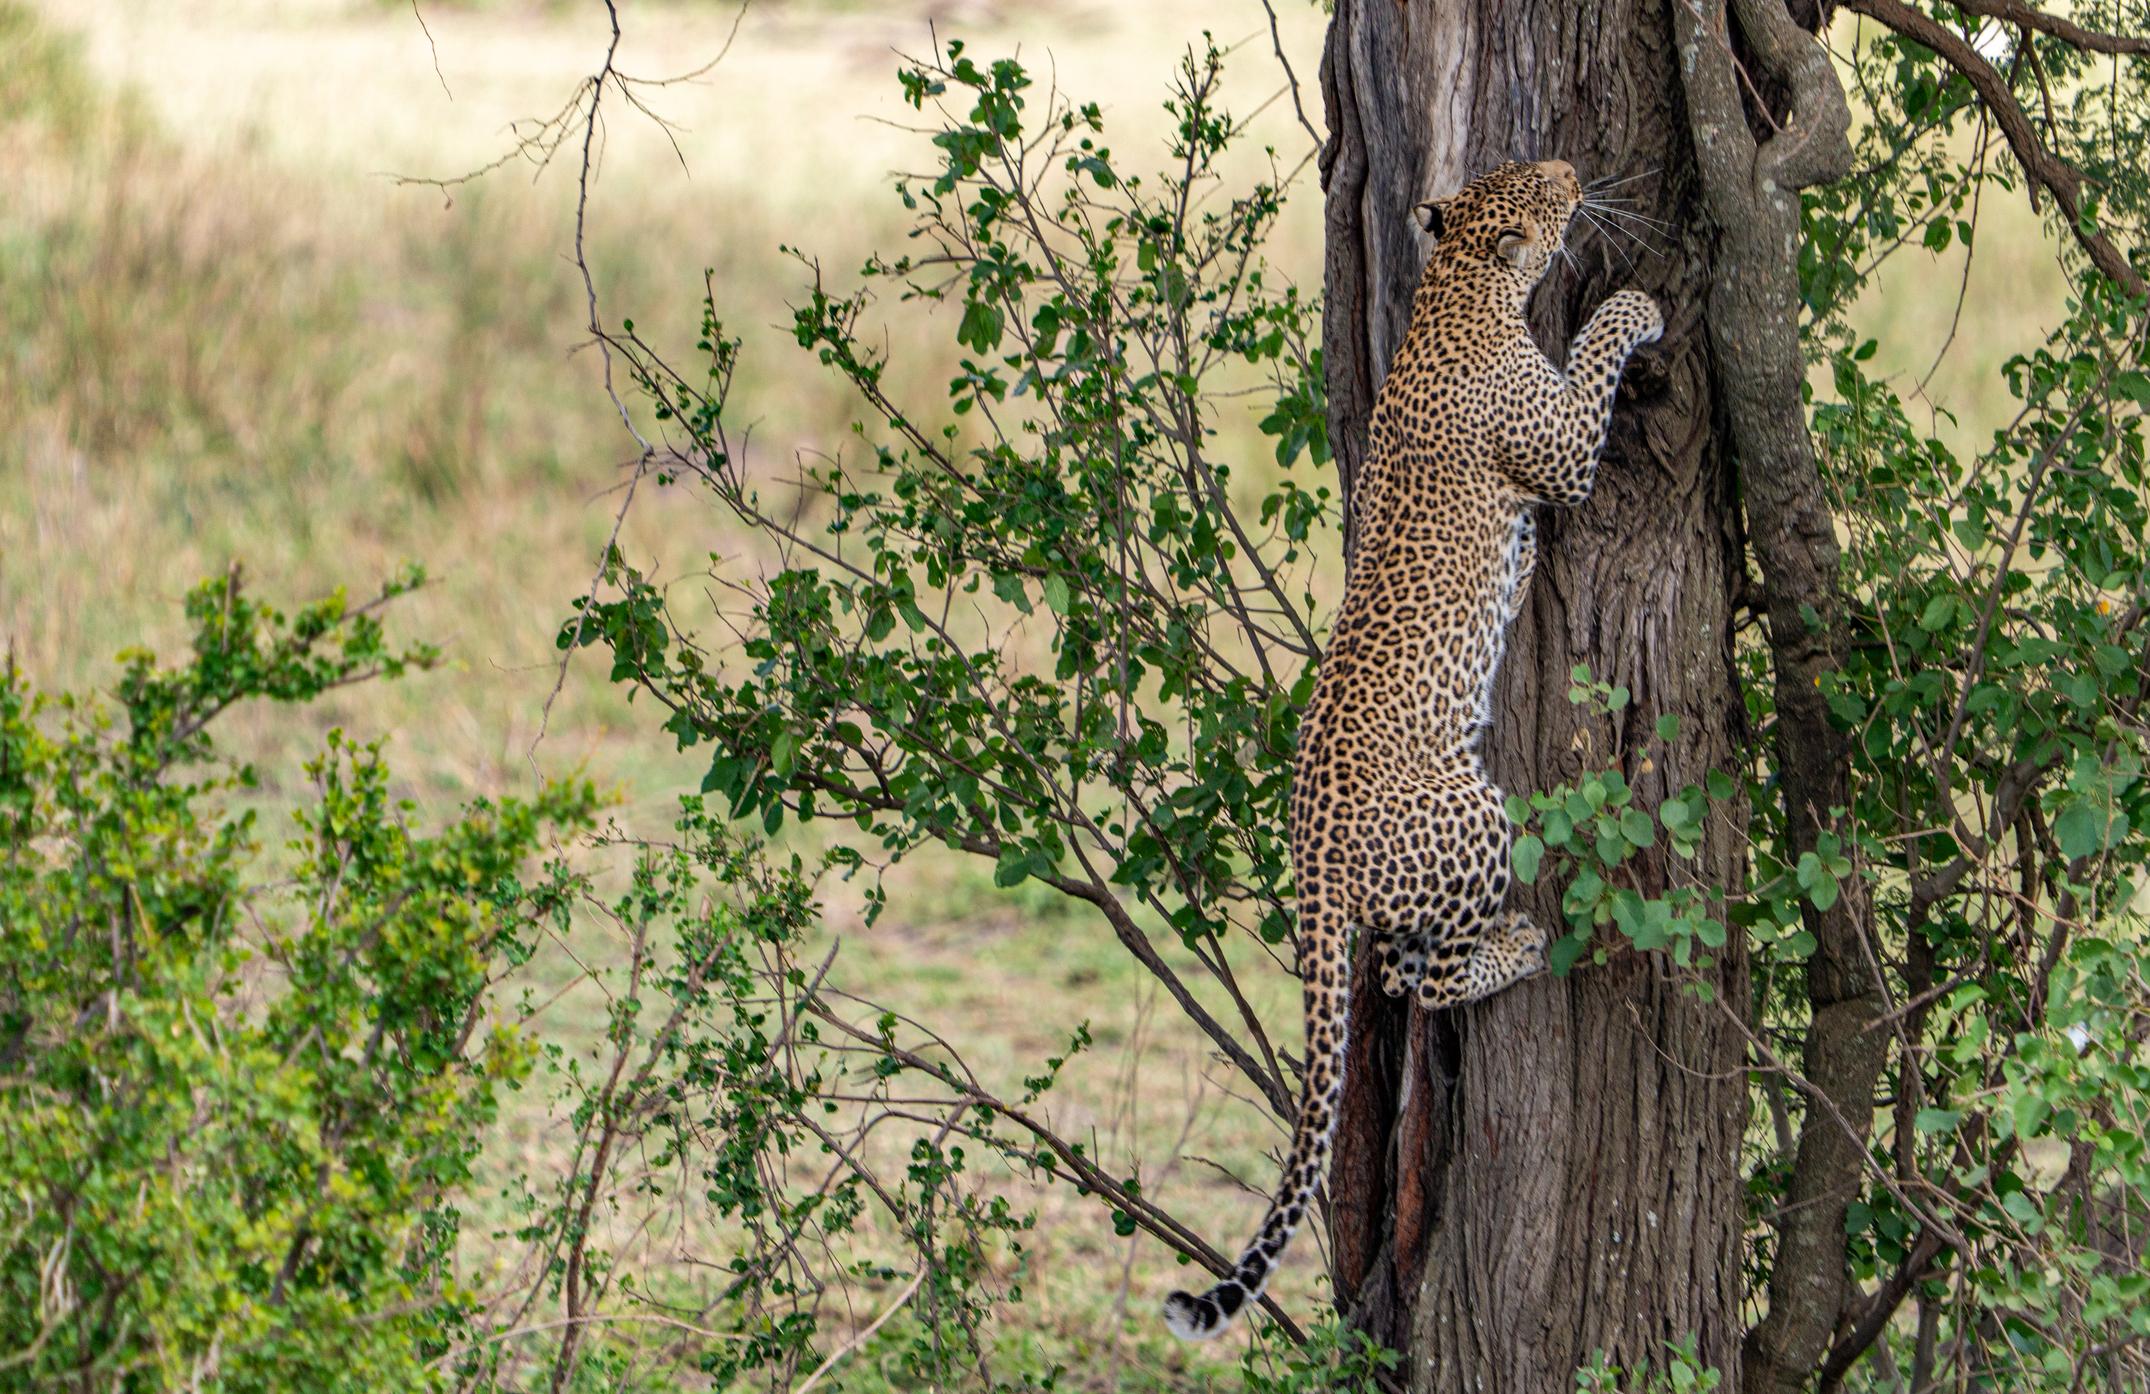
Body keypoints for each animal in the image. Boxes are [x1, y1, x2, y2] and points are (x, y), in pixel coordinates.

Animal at [1162, 159, 1664, 1342]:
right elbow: (1591, 356)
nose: (1574, 169)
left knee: (1397, 963)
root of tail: (1308, 853)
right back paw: (1519, 944)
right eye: (1545, 187)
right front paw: (1636, 306)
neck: (1453, 289)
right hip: (1473, 811)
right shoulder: (1559, 447)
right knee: (1428, 979)